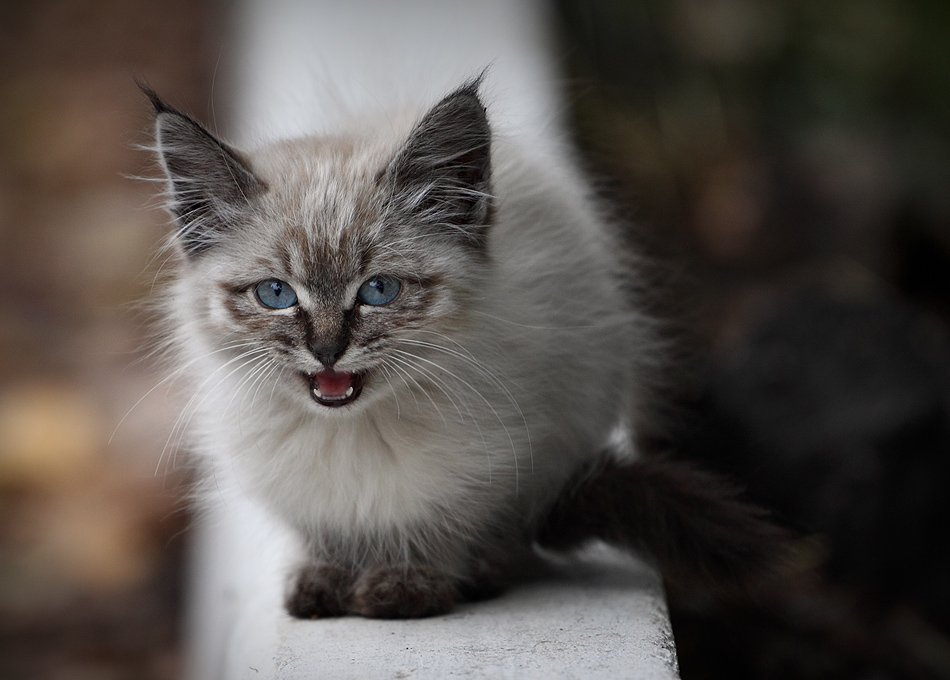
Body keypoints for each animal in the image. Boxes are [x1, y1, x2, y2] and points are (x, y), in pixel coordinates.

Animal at [144, 77, 787, 619]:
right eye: (276, 294)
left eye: (378, 290)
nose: (327, 351)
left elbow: (437, 530)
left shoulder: (490, 473)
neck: (352, 431)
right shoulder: (297, 493)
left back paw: (481, 575)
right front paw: (321, 584)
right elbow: (324, 536)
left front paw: (402, 589)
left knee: (518, 541)